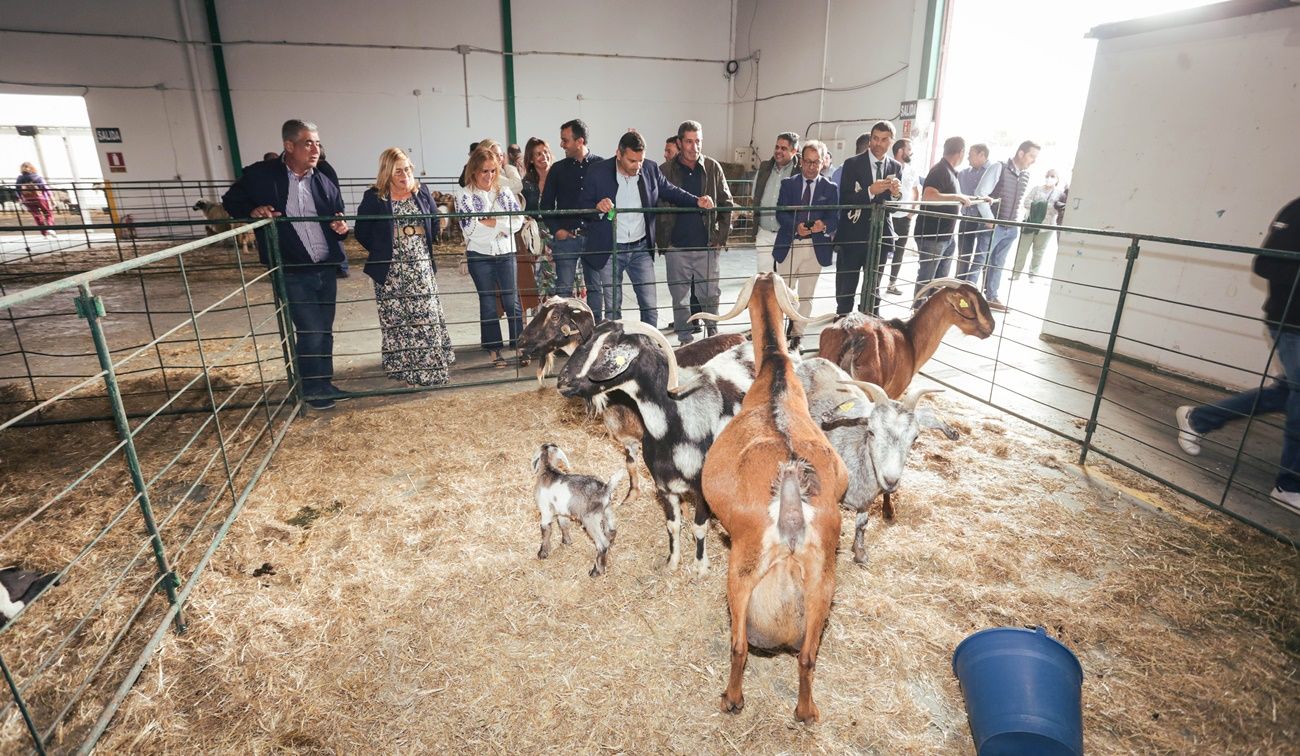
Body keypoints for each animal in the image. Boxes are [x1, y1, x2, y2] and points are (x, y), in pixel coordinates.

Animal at [530, 444, 626, 581]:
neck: (548, 470)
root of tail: (606, 488)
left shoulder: (546, 510)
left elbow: (546, 529)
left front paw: (543, 553)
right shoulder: (562, 511)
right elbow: (564, 524)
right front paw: (566, 542)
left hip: (590, 518)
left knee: (602, 544)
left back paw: (596, 571)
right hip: (607, 511)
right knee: (612, 531)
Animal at [696, 275, 847, 727]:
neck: (775, 374)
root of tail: (792, 514)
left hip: (742, 572)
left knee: (740, 646)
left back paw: (731, 699)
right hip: (822, 581)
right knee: (808, 656)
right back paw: (806, 711)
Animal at [800, 361, 956, 563]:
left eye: (915, 437)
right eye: (871, 431)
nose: (891, 480)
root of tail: (812, 361)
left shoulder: (867, 501)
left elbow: (862, 523)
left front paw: (859, 553)